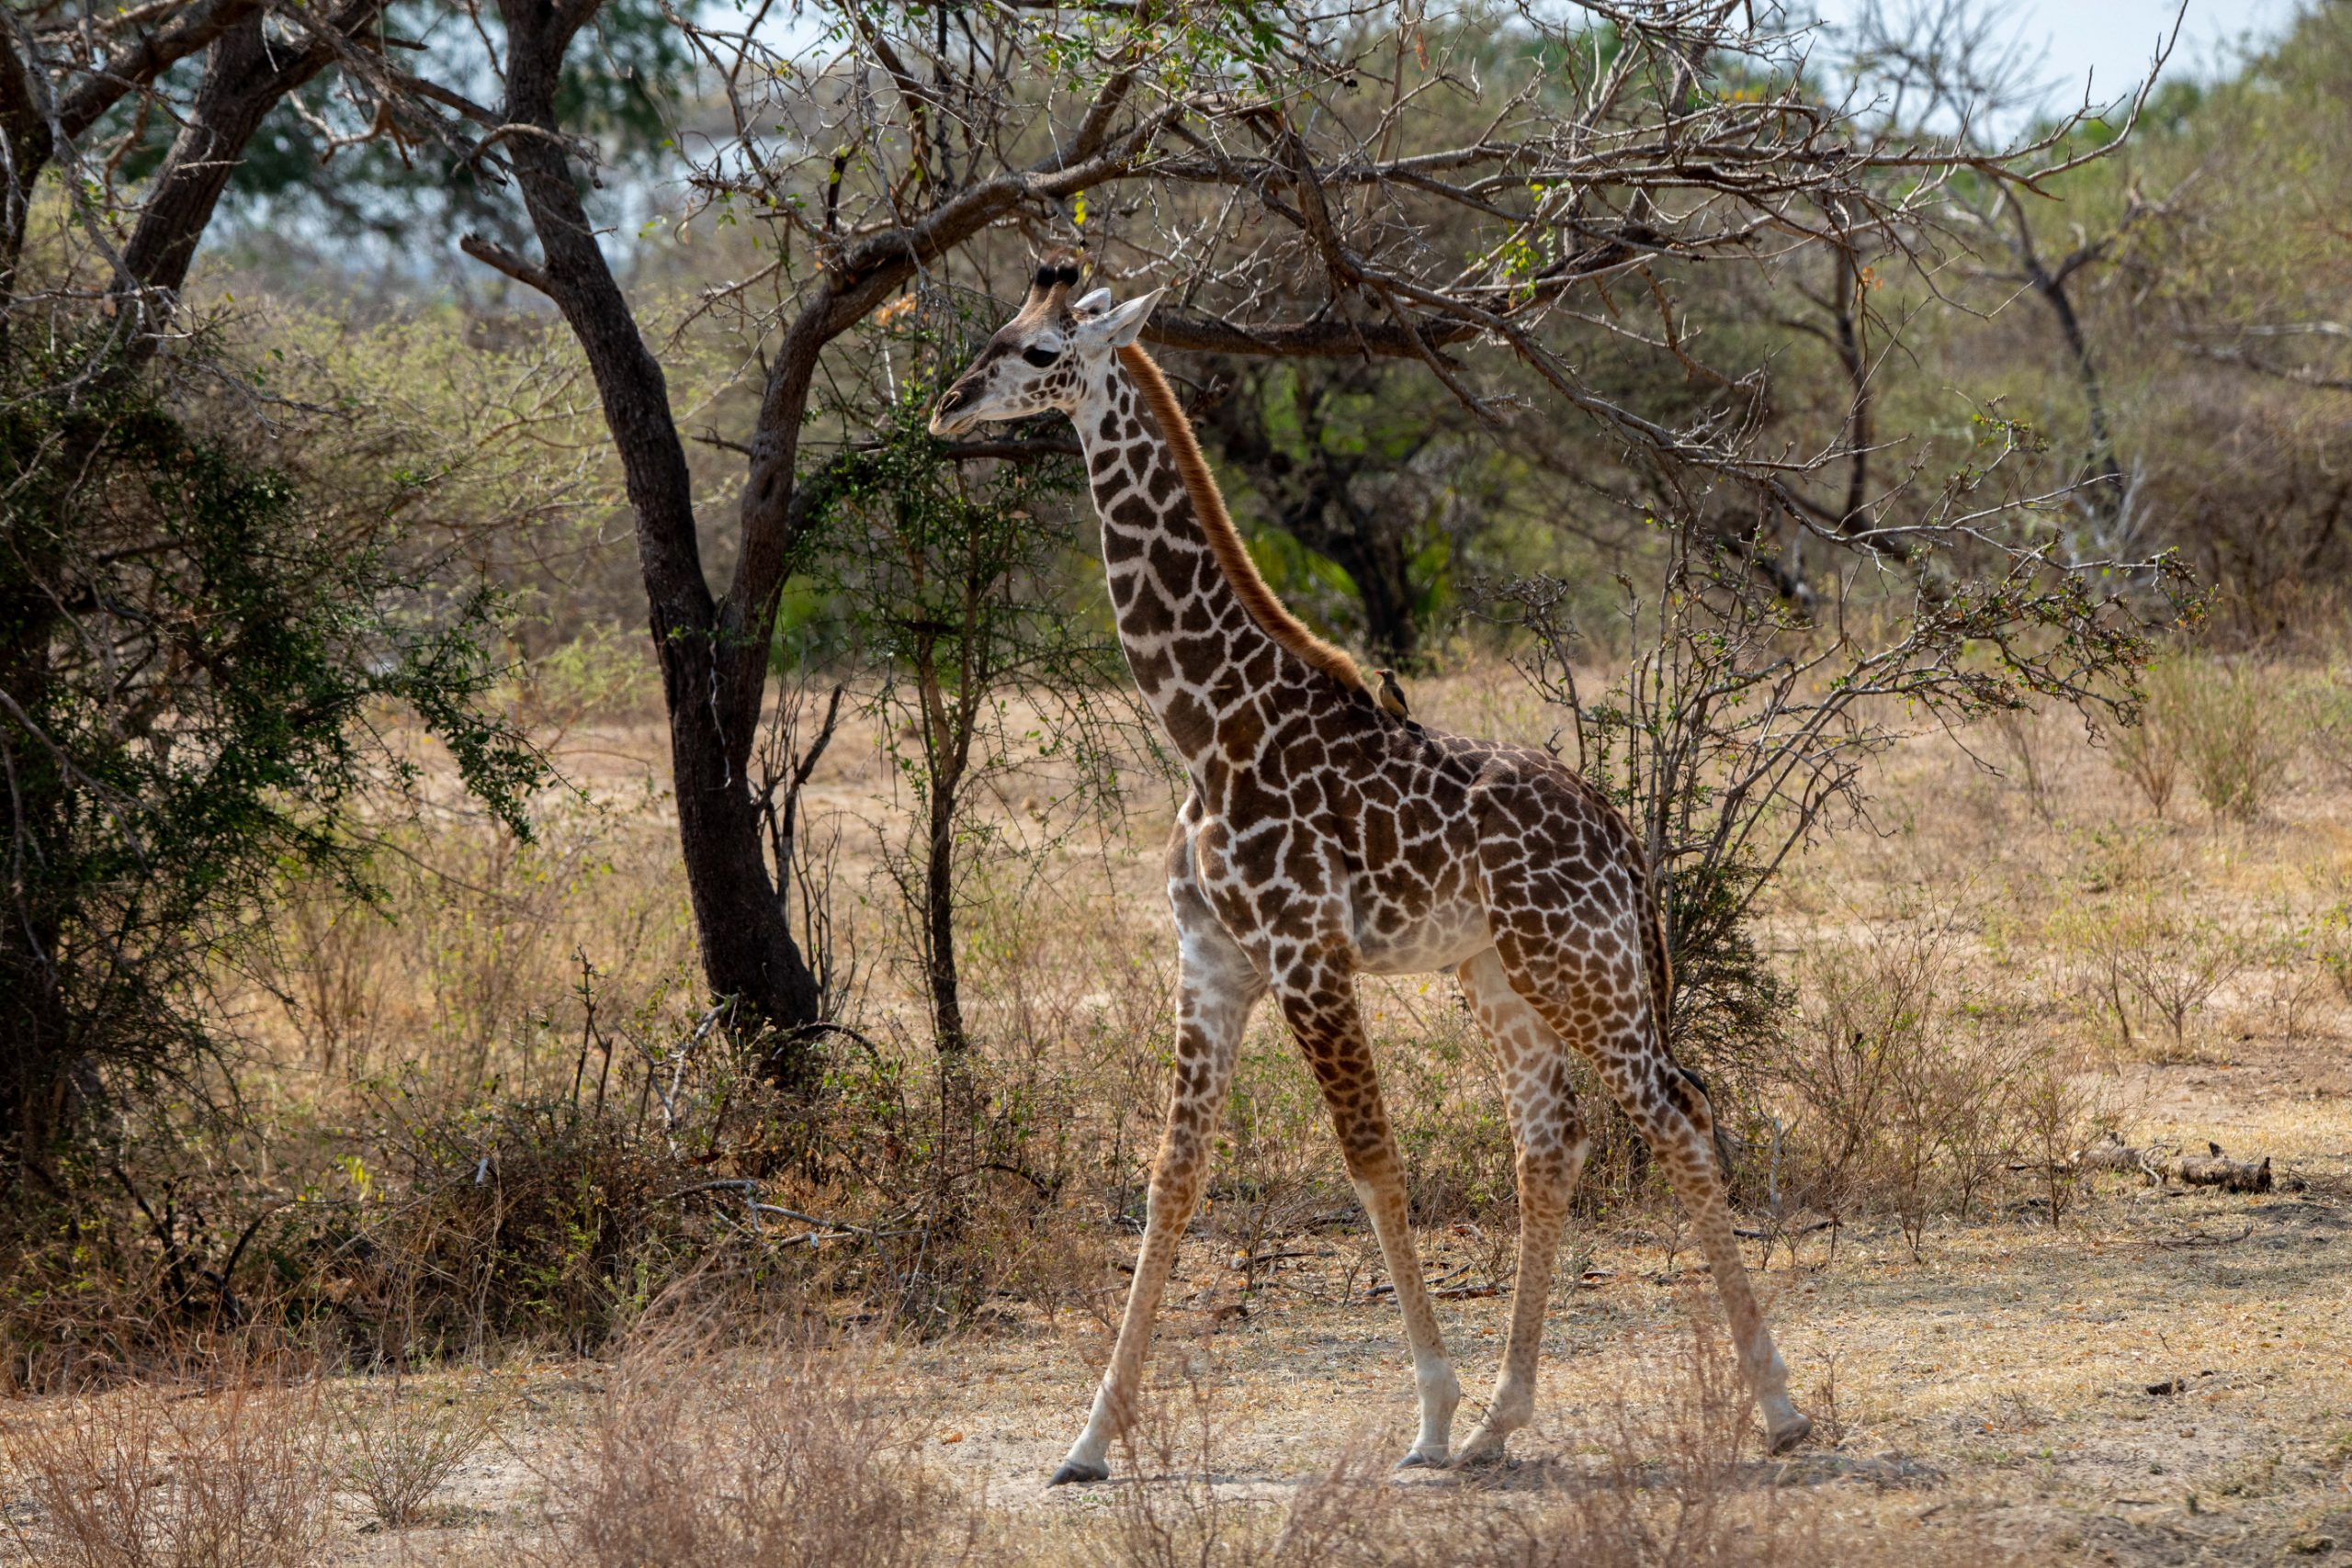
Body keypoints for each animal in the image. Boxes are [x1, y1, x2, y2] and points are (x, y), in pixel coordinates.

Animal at [928, 257, 1811, 1484]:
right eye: (996, 335)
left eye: (1041, 353)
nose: (947, 404)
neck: (1207, 728)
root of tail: (1620, 839)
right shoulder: (1211, 961)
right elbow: (1171, 1177)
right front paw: (1089, 1439)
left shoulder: (1307, 954)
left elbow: (1369, 1160)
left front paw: (1428, 1414)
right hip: (1496, 976)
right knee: (1550, 1141)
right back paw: (1502, 1424)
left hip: (1583, 973)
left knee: (1676, 1111)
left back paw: (1775, 1406)